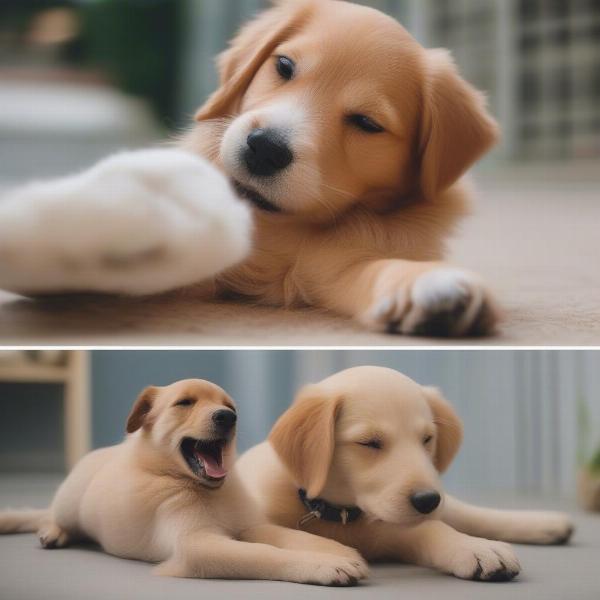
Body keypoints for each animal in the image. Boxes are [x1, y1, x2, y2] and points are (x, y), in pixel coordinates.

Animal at [0, 380, 368, 584]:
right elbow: (265, 554)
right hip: (69, 502)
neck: (204, 489)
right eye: (184, 403)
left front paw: (338, 551)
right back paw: (52, 531)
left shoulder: (249, 526)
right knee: (52, 516)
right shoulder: (197, 546)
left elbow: (290, 537)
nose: (228, 417)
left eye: (229, 406)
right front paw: (324, 565)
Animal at [184, 0, 502, 338]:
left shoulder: (335, 266)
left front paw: (427, 283)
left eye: (366, 123)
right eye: (284, 66)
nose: (266, 149)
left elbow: (376, 268)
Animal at [237, 366, 576, 580]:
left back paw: (544, 522)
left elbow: (433, 529)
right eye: (369, 443)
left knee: (467, 514)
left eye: (426, 439)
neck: (340, 514)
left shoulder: (394, 526)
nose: (427, 500)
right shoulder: (249, 525)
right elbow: (284, 534)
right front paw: (334, 556)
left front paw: (474, 547)